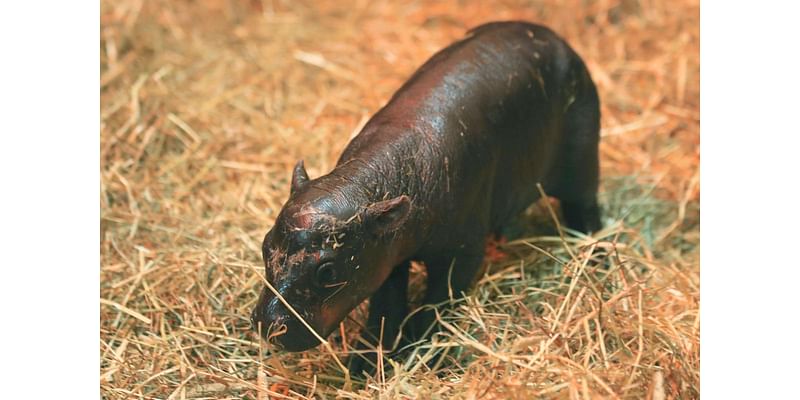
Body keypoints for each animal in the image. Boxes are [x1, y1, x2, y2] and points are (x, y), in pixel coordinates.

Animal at [250, 21, 600, 370]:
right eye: (265, 245)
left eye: (327, 271)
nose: (268, 325)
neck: (364, 184)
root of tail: (555, 37)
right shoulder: (386, 256)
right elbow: (385, 309)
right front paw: (365, 365)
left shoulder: (462, 253)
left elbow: (437, 303)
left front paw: (418, 355)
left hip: (582, 164)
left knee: (586, 208)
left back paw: (594, 255)